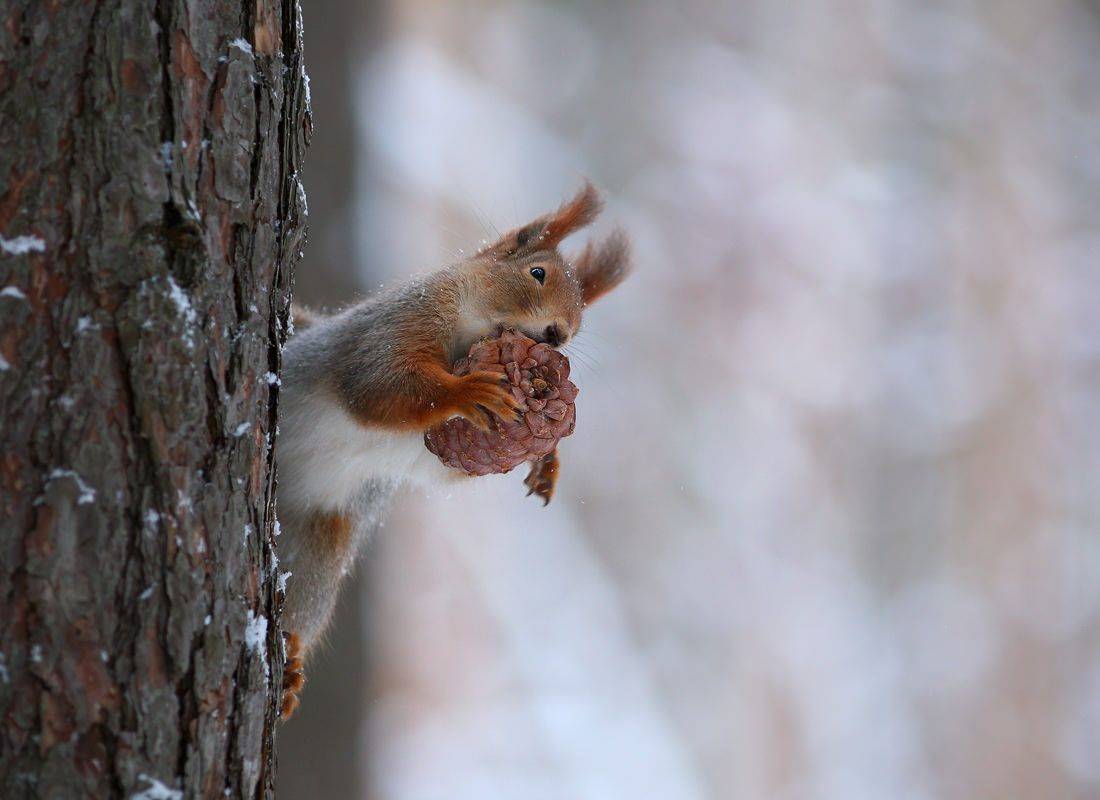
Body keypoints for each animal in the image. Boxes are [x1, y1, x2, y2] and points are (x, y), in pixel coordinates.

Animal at [275, 182, 633, 721]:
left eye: (582, 318)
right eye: (538, 272)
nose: (560, 334)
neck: (470, 337)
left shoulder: (432, 449)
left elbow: (452, 463)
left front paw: (546, 458)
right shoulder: (400, 323)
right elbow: (382, 383)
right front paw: (466, 391)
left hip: (317, 544)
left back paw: (290, 663)